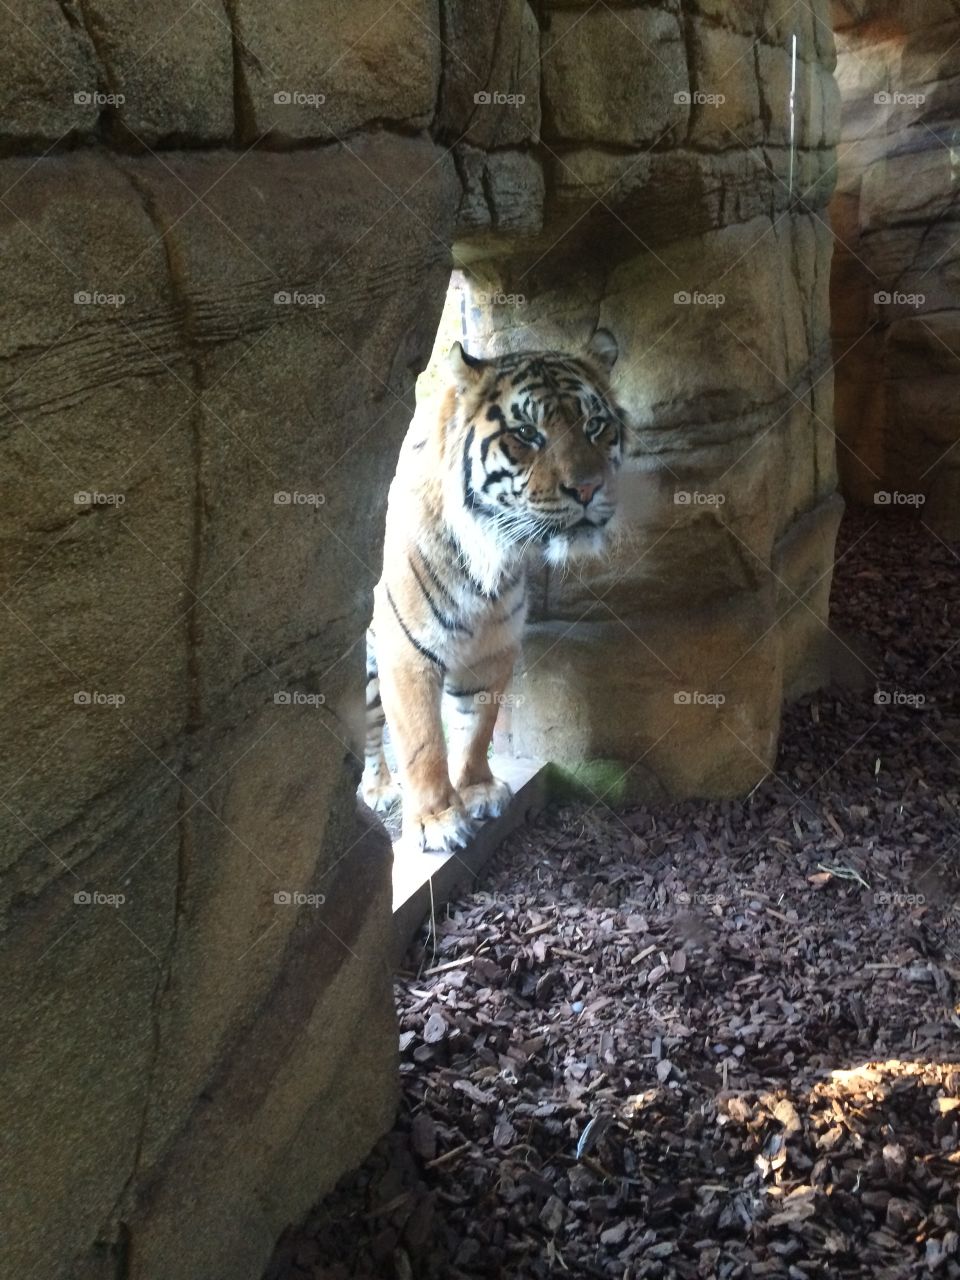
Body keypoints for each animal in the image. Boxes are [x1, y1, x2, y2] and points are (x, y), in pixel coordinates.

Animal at [363, 327, 627, 849]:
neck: (492, 558)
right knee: (367, 727)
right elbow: (423, 741)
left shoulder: (493, 647)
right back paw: (378, 788)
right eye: (526, 433)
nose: (588, 489)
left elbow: (476, 727)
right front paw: (438, 820)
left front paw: (478, 790)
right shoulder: (406, 654)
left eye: (594, 425)